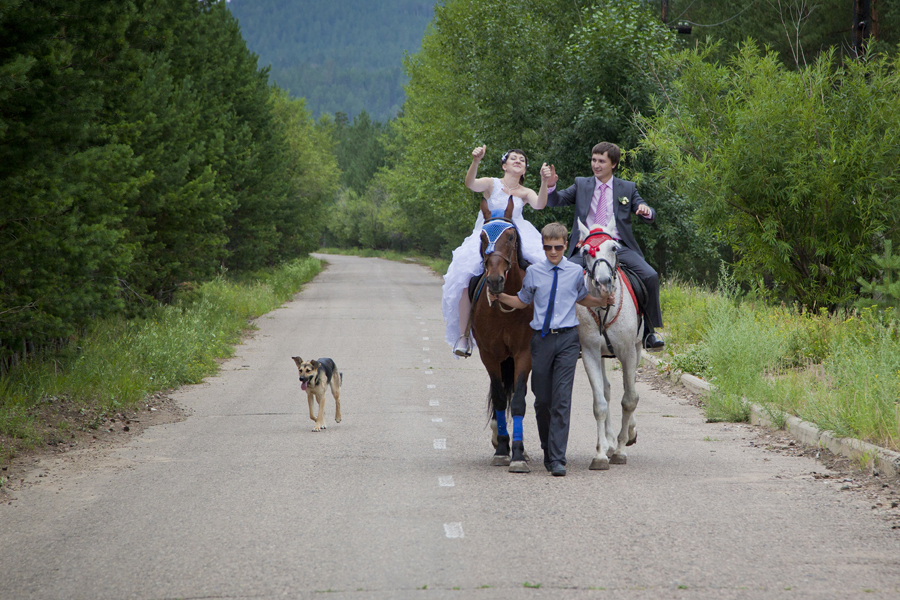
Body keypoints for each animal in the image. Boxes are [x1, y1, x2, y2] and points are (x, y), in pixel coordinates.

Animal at [572, 218, 644, 472]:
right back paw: (610, 441)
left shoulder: (628, 353)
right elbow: (600, 403)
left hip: (638, 348)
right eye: (586, 251)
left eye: (614, 247)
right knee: (607, 390)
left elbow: (630, 400)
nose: (603, 283)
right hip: (603, 355)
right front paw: (601, 453)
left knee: (631, 391)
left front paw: (622, 448)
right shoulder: (591, 353)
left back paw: (628, 433)